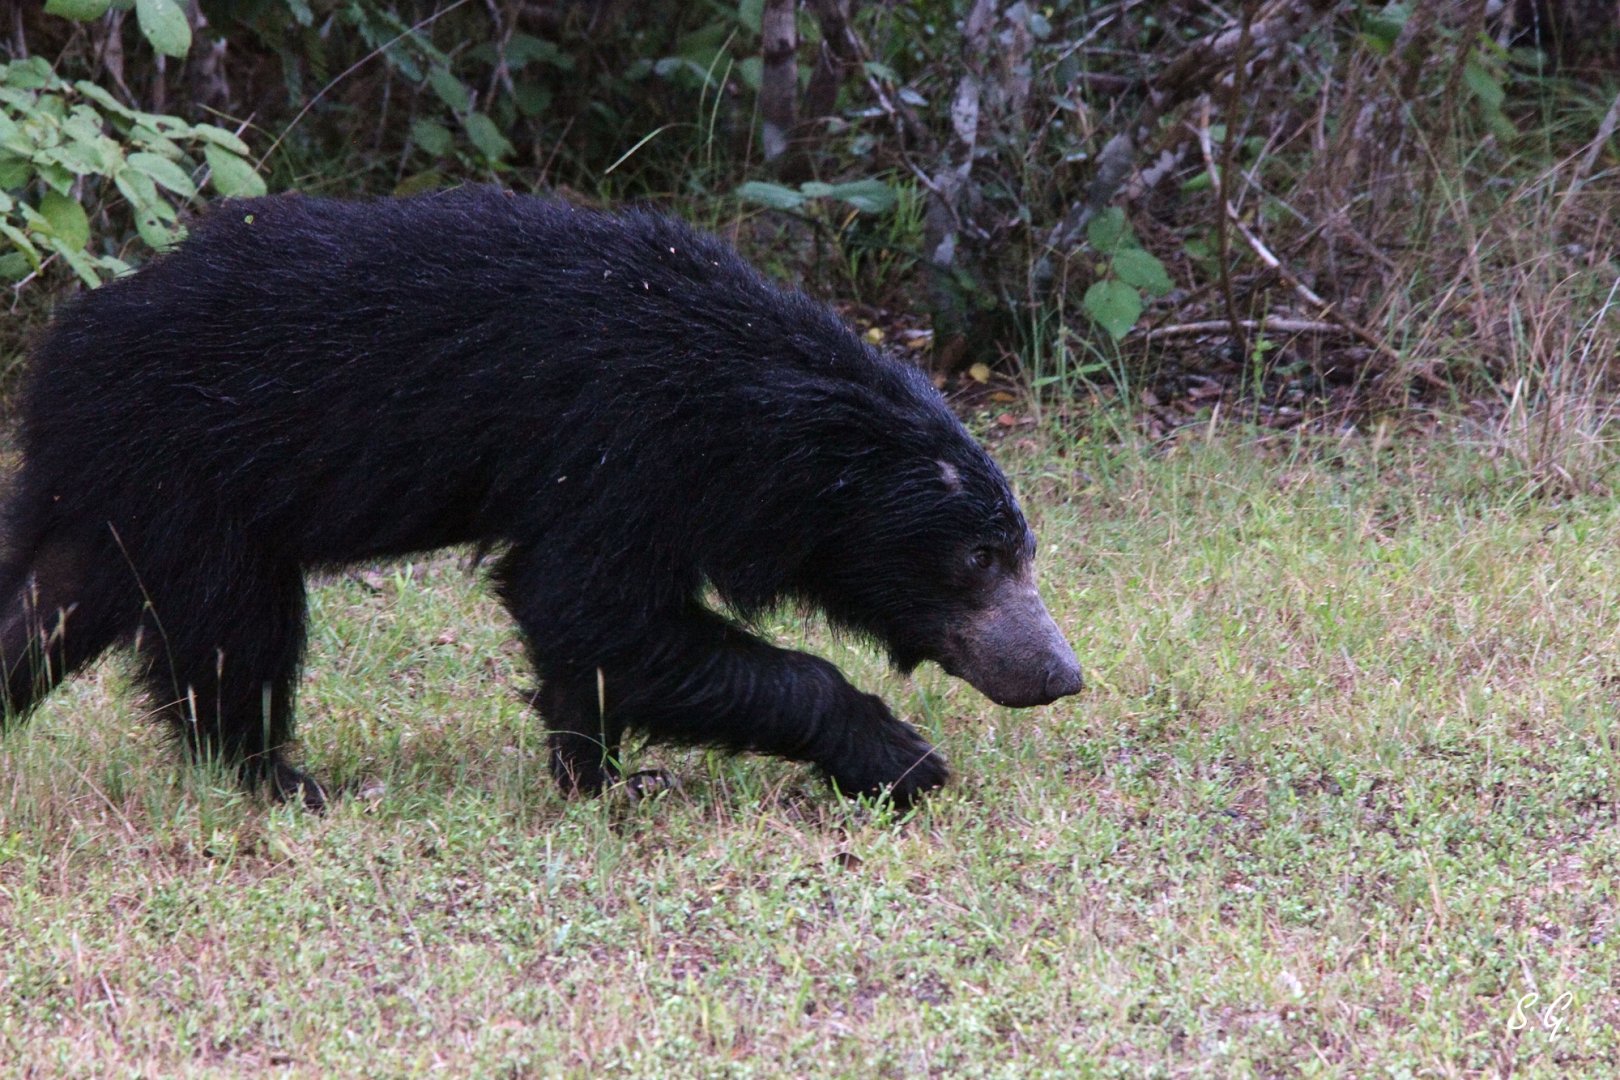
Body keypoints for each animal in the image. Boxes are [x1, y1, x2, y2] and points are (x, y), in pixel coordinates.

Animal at [0, 188, 1082, 810]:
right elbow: (588, 604)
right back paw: (289, 781)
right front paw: (899, 756)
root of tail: (58, 367)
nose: (1060, 673)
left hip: (123, 505)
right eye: (978, 560)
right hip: (196, 485)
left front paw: (602, 776)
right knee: (237, 639)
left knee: (46, 611)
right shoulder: (623, 440)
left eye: (1025, 552)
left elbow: (589, 632)